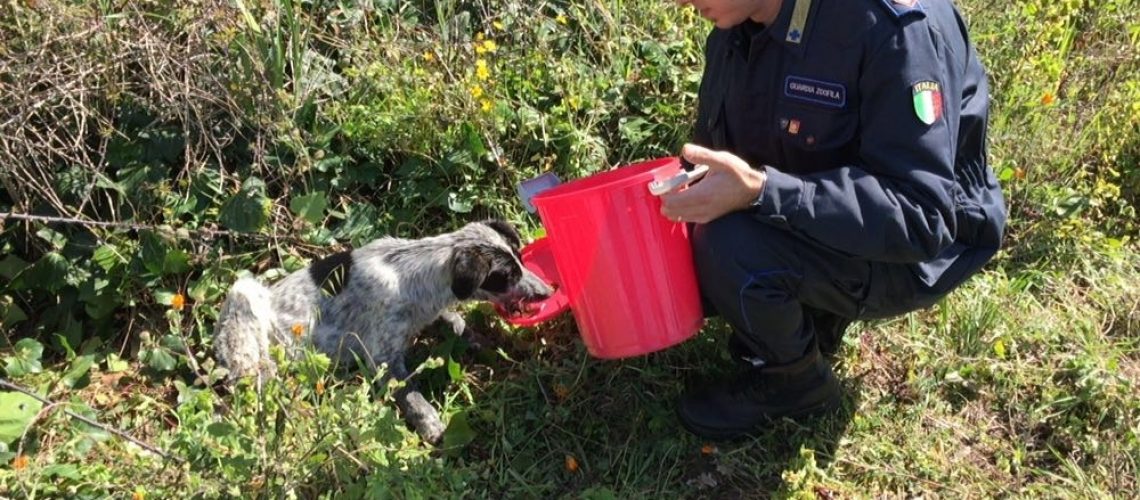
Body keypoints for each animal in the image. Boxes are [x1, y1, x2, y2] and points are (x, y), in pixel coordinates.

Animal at [215, 218, 554, 441]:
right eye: (507, 277)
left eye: (521, 261)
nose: (547, 291)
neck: (413, 272)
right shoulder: (382, 359)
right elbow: (412, 396)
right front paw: (432, 426)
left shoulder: (429, 312)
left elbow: (455, 323)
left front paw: (482, 344)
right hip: (244, 298)